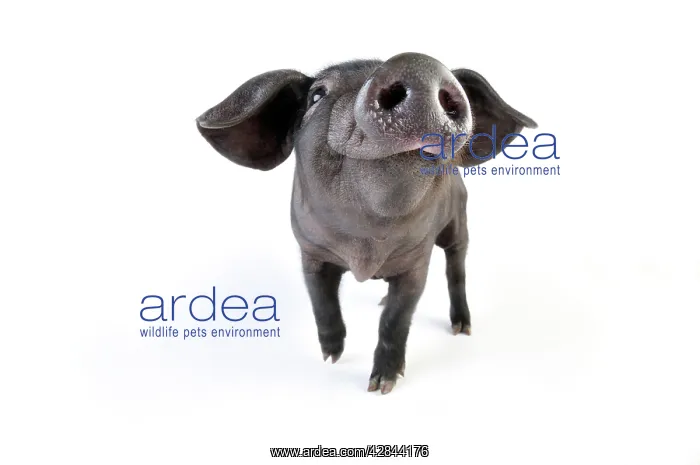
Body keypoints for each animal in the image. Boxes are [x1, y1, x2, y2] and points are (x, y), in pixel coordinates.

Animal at [196, 53, 537, 394]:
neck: (366, 246)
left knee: (457, 267)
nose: (417, 65)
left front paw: (381, 386)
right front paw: (331, 357)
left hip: (459, 221)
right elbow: (321, 301)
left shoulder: (417, 260)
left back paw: (462, 328)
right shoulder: (310, 251)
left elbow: (396, 318)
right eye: (316, 95)